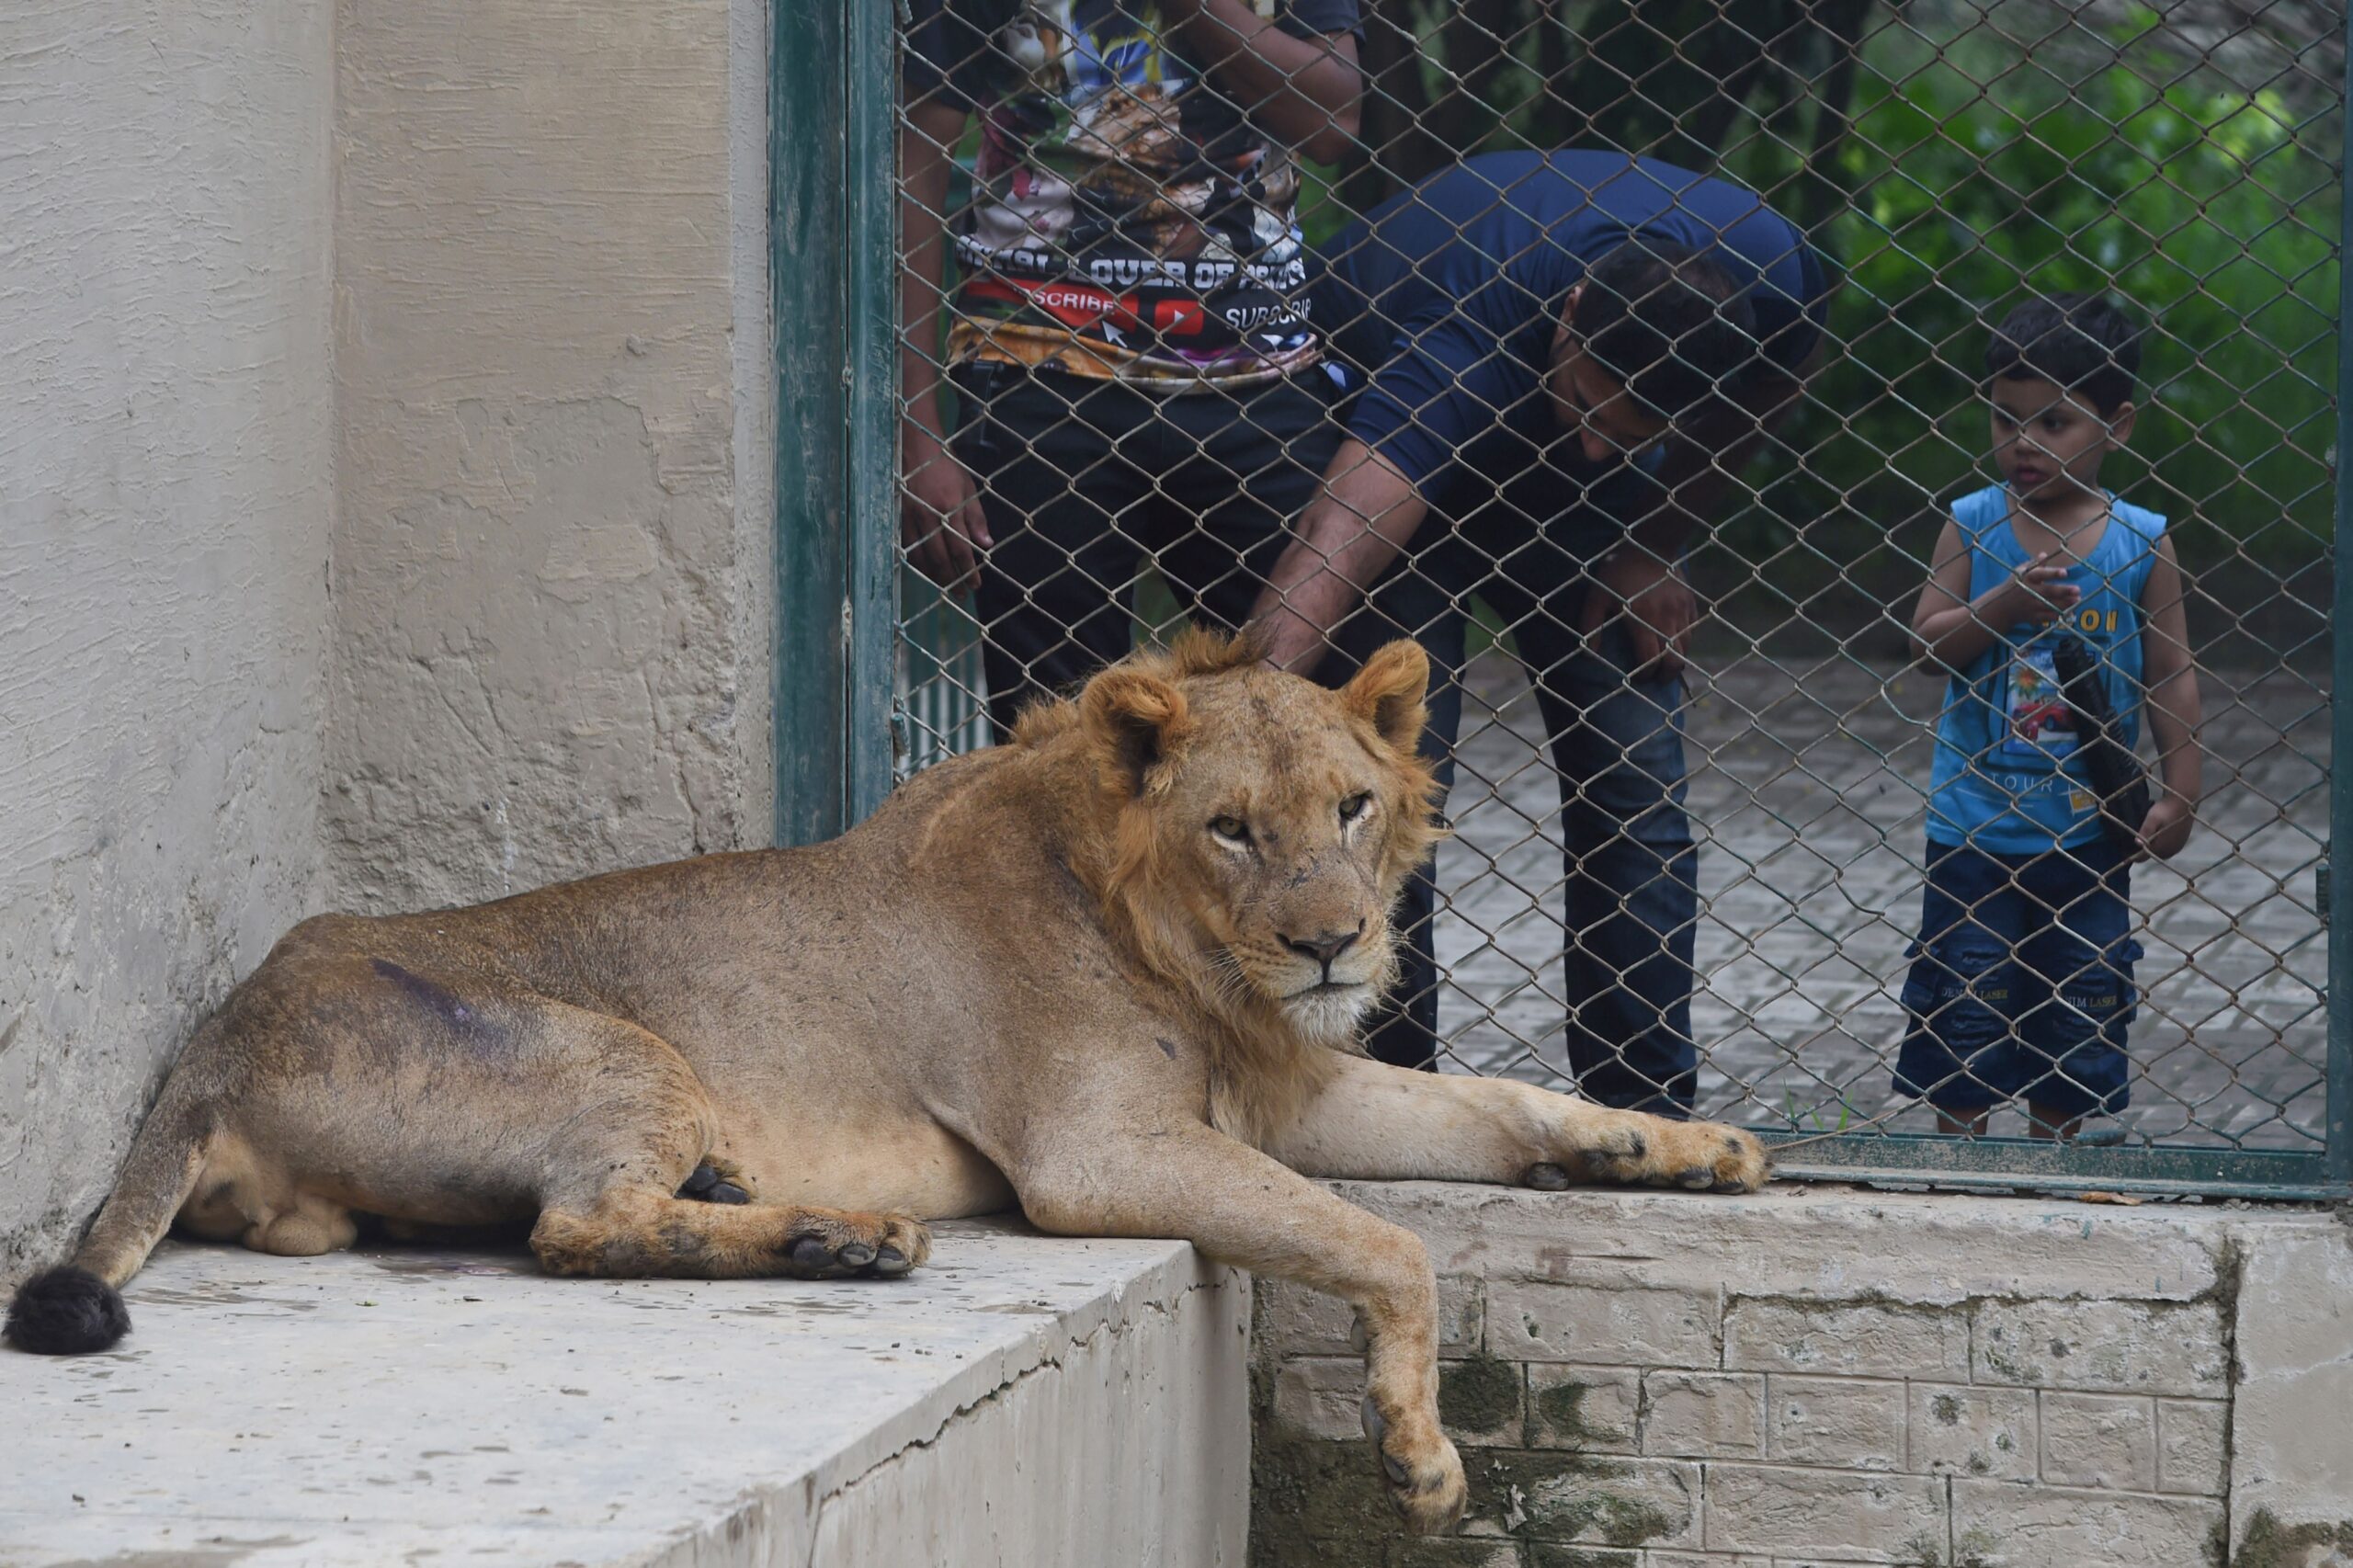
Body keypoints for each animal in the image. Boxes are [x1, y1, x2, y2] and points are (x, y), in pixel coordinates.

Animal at [5, 626, 1769, 1525]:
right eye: (1231, 827)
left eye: (1350, 804)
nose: (1336, 944)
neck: (1194, 958)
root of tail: (221, 1023)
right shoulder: (1095, 1152)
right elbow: (1385, 1244)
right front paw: (1421, 1454)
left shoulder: (1286, 1085)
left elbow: (1499, 1111)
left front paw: (1679, 1150)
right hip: (622, 1043)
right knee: (579, 1227)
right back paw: (840, 1234)